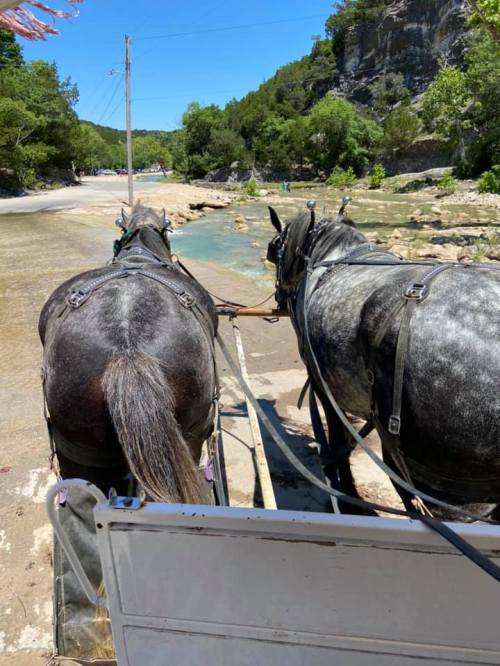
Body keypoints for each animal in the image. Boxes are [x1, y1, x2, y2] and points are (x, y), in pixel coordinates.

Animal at [267, 205, 500, 521]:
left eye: (276, 248)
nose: (279, 298)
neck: (330, 257)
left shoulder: (322, 386)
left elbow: (338, 441)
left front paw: (348, 498)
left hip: (448, 493)